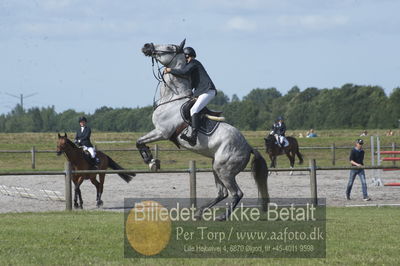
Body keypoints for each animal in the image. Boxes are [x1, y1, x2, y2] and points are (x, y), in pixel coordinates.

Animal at [136, 39, 270, 220]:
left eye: (170, 47)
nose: (146, 46)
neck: (172, 98)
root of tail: (248, 147)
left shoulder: (162, 132)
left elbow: (139, 142)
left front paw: (150, 161)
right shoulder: (159, 131)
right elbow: (139, 142)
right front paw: (151, 161)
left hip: (224, 169)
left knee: (236, 193)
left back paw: (222, 216)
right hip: (215, 166)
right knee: (222, 193)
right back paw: (199, 212)